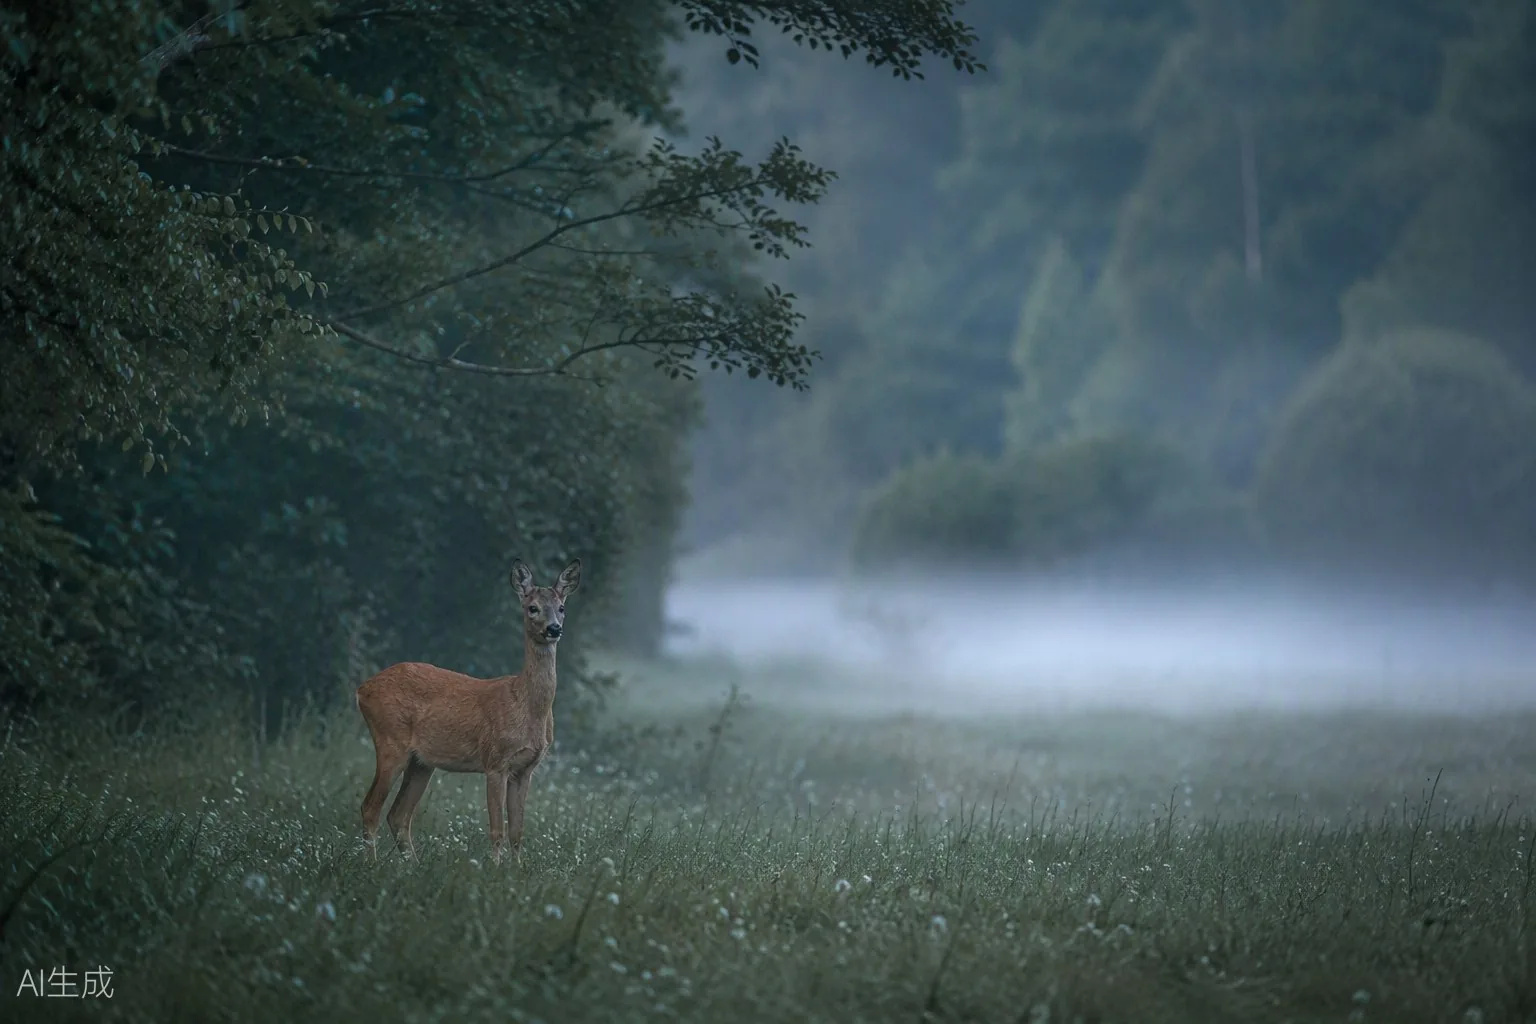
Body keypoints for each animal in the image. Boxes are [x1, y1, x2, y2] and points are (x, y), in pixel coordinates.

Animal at [355, 557, 581, 864]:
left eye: (561, 607)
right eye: (532, 607)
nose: (554, 628)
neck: (526, 705)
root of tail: (362, 689)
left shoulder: (526, 768)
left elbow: (517, 832)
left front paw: (517, 870)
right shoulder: (495, 761)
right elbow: (497, 829)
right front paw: (495, 869)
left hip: (421, 762)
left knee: (398, 815)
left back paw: (412, 865)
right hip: (390, 740)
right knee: (370, 807)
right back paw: (372, 863)